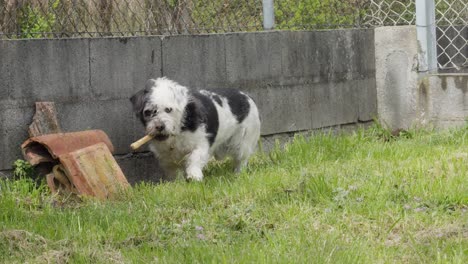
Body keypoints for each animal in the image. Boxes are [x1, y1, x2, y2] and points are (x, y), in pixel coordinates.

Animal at [130, 77, 262, 182]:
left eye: (168, 109)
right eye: (148, 112)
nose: (159, 126)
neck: (177, 132)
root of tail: (247, 96)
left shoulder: (201, 144)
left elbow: (195, 157)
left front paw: (194, 175)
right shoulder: (165, 157)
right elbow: (173, 171)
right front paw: (177, 184)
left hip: (243, 141)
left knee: (241, 159)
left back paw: (238, 174)